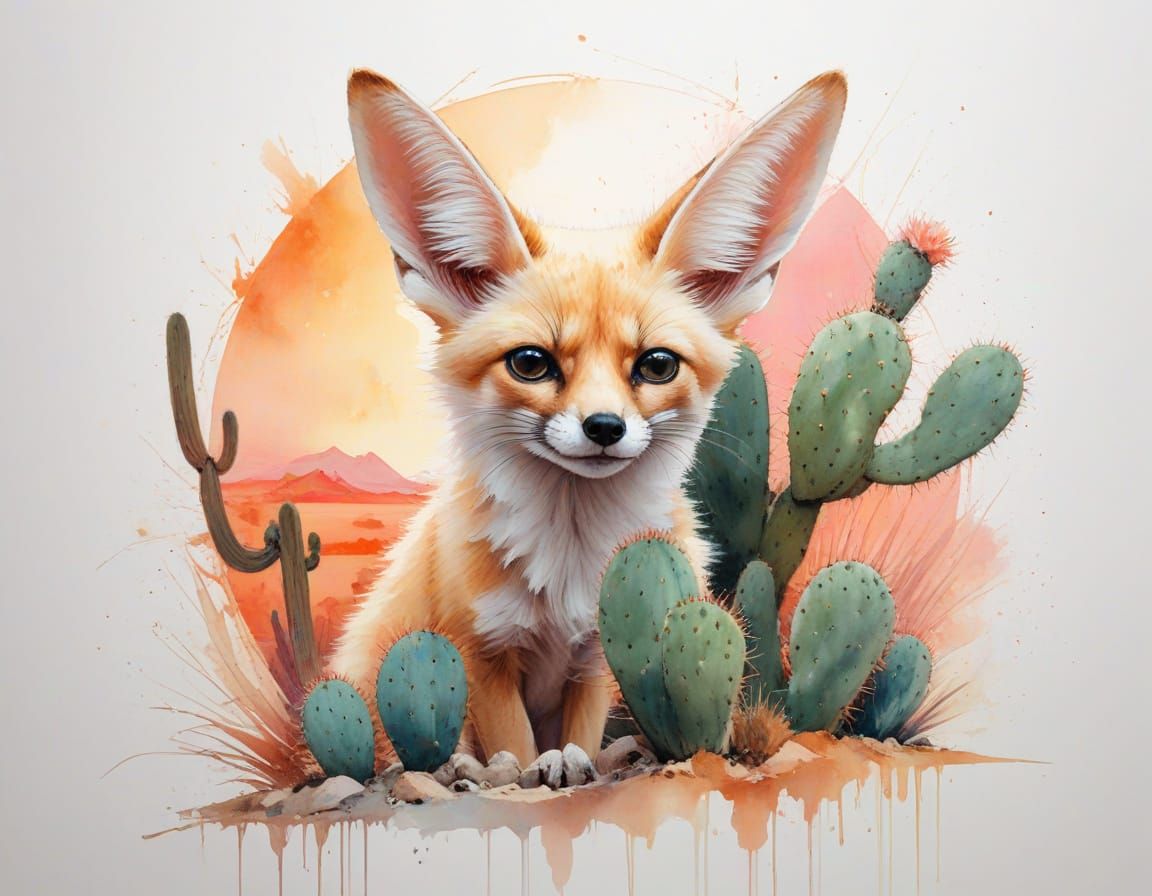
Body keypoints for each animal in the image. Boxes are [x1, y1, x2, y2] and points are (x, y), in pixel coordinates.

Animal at [330, 68, 847, 777]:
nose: (604, 427)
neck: (570, 566)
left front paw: (574, 763)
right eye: (531, 363)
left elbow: (579, 737)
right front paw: (531, 773)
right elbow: (518, 753)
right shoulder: (481, 655)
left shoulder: (597, 658)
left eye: (657, 364)